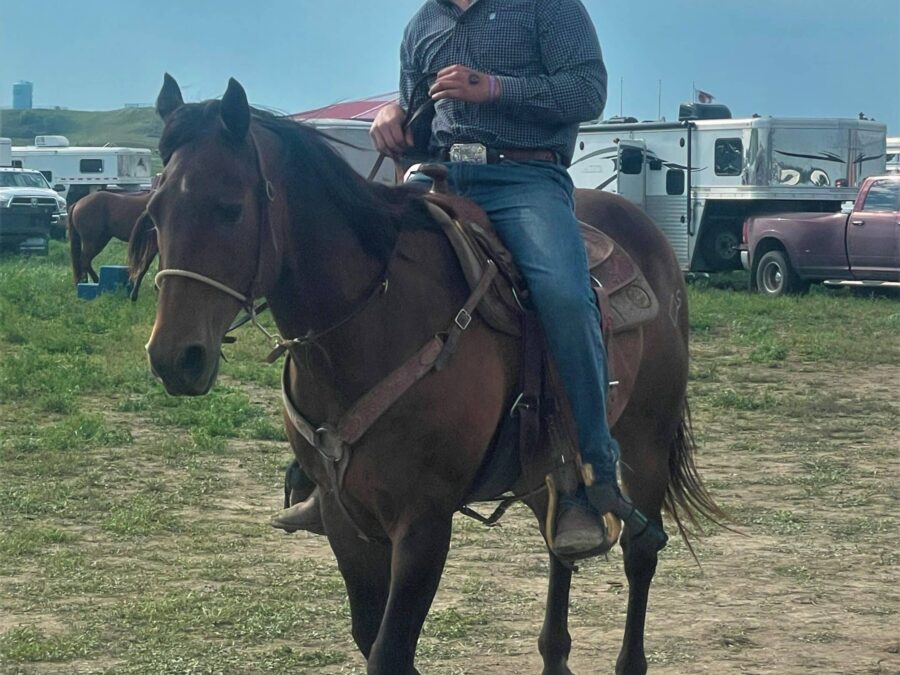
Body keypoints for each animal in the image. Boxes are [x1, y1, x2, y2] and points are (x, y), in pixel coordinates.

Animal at [135, 74, 724, 675]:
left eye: (229, 208)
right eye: (153, 211)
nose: (173, 356)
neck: (372, 319)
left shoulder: (423, 523)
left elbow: (389, 650)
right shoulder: (345, 518)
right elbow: (371, 636)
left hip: (647, 442)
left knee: (640, 552)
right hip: (546, 468)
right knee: (560, 541)